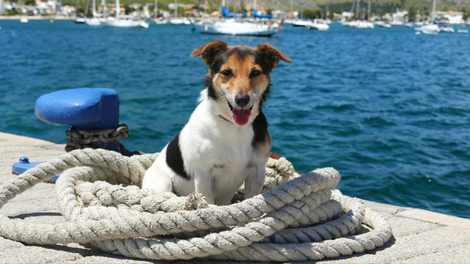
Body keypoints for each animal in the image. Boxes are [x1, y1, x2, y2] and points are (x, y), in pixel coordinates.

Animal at [141, 40, 292, 205]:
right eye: (226, 72)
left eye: (255, 73)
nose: (242, 100)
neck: (233, 125)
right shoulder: (203, 174)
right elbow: (207, 201)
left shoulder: (257, 170)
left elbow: (251, 198)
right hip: (162, 183)